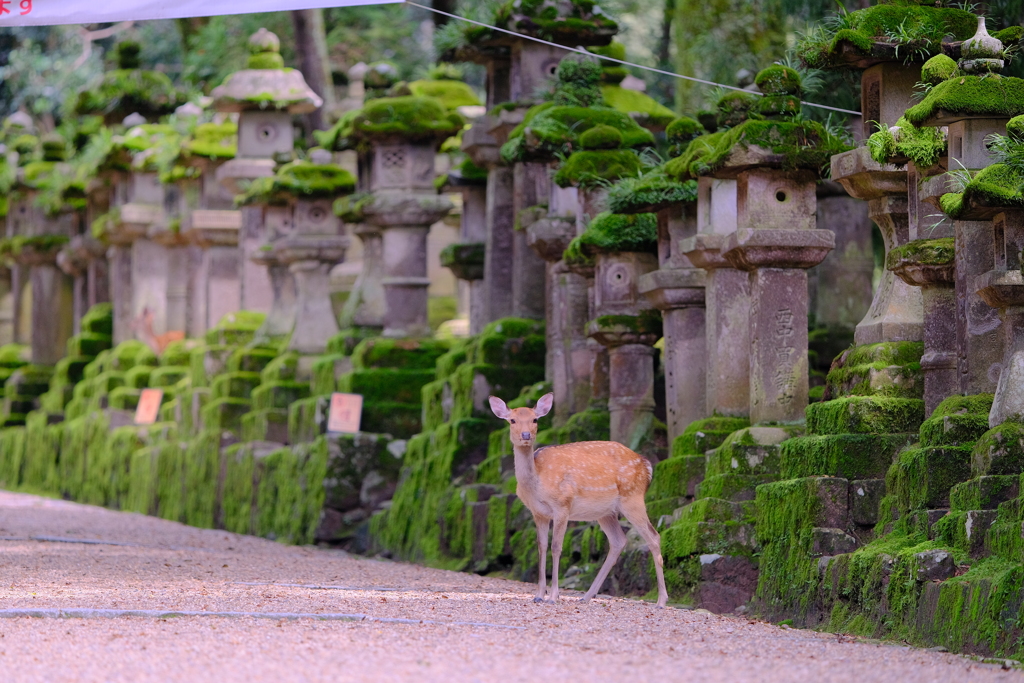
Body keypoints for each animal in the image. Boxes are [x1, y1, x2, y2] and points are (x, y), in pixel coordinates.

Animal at [489, 393, 667, 606]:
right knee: (618, 541)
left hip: (633, 497)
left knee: (653, 537)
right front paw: (539, 595)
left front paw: (553, 596)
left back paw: (661, 601)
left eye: (535, 419)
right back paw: (587, 596)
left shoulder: (562, 504)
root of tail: (647, 465)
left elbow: (556, 547)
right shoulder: (538, 513)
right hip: (605, 512)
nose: (526, 435)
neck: (536, 482)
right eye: (512, 420)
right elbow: (541, 547)